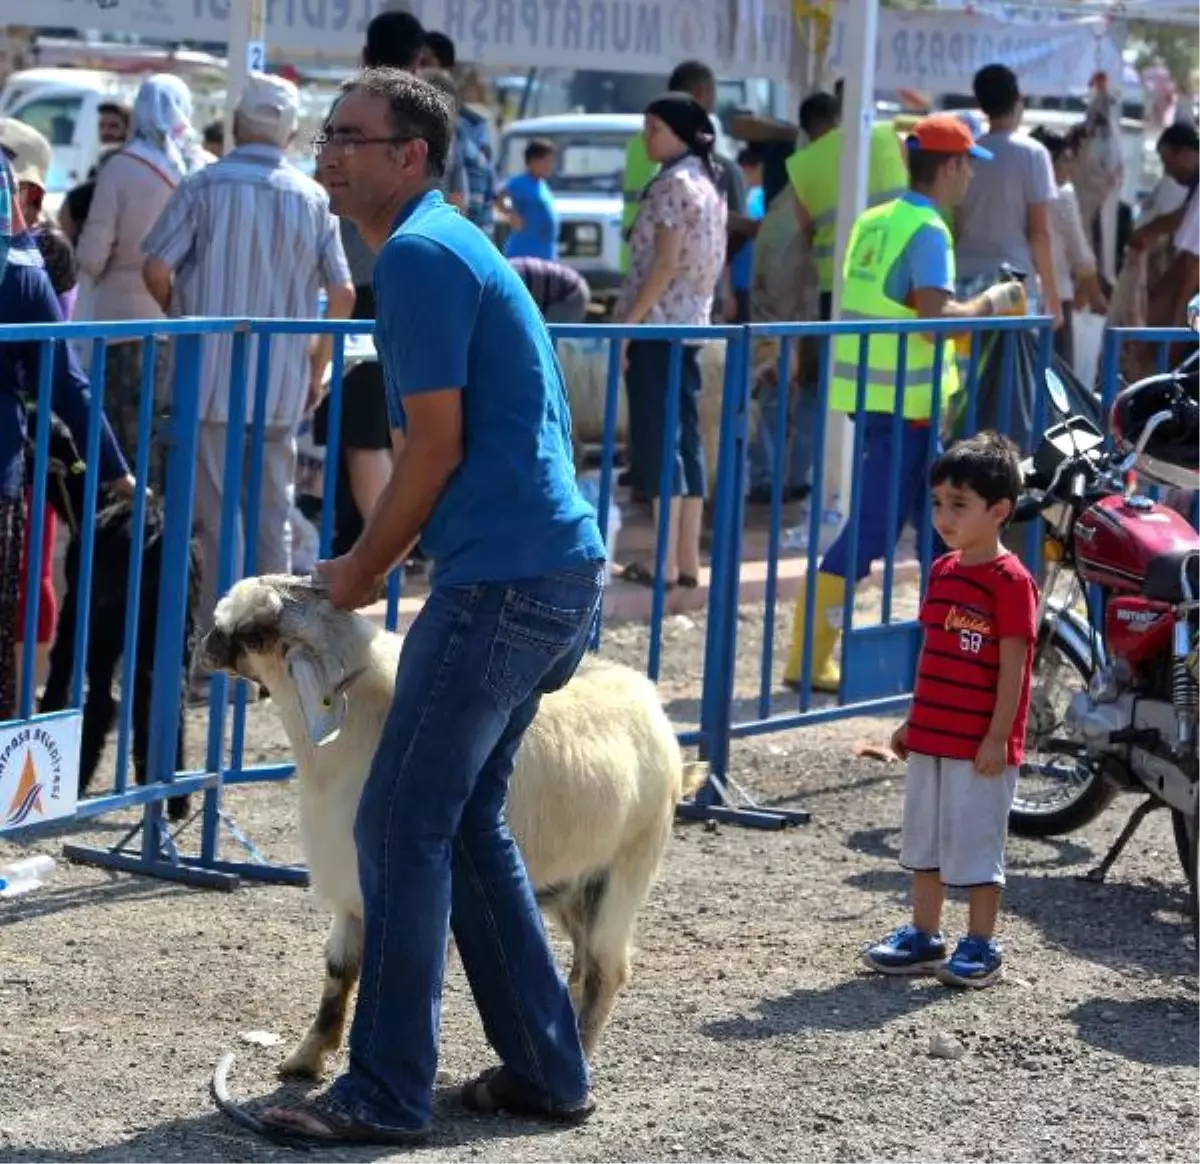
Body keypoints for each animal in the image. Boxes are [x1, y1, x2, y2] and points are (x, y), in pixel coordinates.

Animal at [25, 412, 202, 820]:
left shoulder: (74, 616)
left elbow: (60, 679)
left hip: (103, 628)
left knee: (103, 701)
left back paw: (82, 776)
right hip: (172, 636)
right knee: (168, 703)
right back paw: (175, 796)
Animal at [200, 573, 700, 1080]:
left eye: (255, 634)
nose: (205, 644)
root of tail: (655, 710)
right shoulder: (348, 888)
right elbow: (339, 972)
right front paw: (305, 1057)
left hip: (623, 873)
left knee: (606, 968)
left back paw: (580, 1049)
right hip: (570, 885)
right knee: (582, 966)